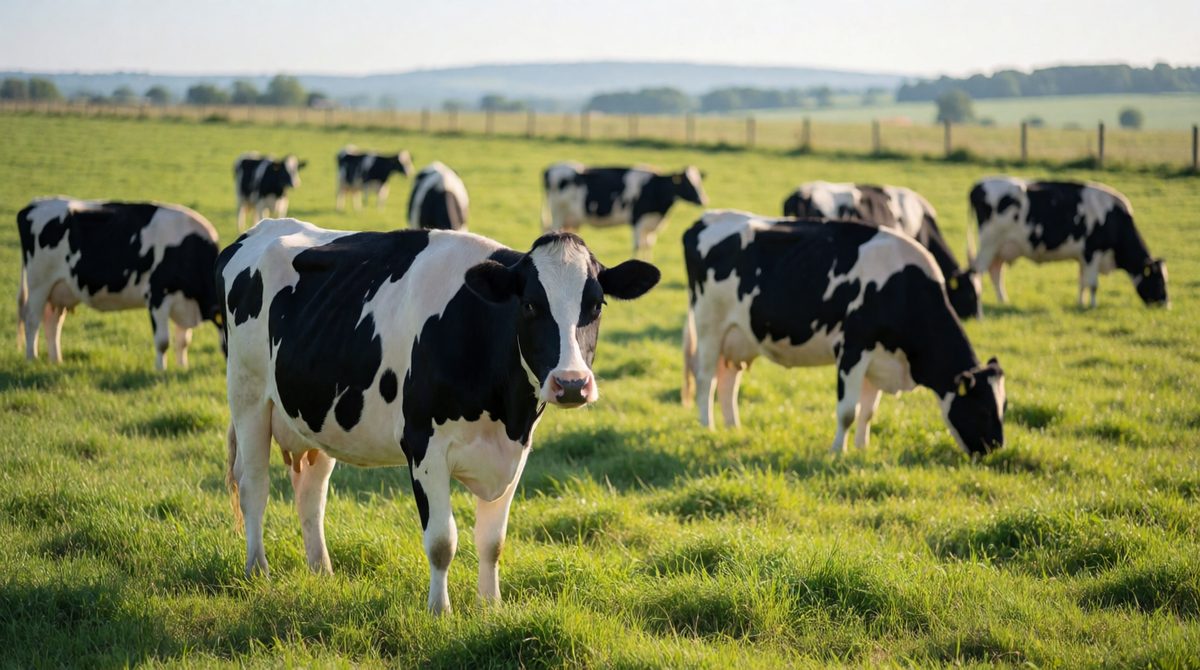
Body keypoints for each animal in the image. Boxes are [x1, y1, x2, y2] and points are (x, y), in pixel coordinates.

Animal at [17, 197, 221, 370]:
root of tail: (34, 204)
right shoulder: (157, 296)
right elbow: (163, 341)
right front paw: (161, 370)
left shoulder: (185, 302)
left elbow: (183, 341)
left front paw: (182, 367)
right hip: (39, 283)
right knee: (32, 319)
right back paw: (31, 358)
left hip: (60, 289)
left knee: (52, 322)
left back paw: (56, 360)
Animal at [217, 219, 660, 614]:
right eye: (531, 305)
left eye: (596, 305)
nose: (571, 384)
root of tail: (260, 229)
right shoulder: (423, 445)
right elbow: (442, 541)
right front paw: (439, 611)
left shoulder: (516, 451)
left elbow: (493, 542)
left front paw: (491, 607)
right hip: (248, 394)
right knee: (254, 485)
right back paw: (258, 570)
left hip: (318, 417)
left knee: (311, 493)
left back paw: (321, 571)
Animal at [542, 162, 707, 258]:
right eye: (687, 183)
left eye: (699, 181)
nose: (703, 200)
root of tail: (551, 168)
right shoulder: (637, 220)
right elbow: (638, 245)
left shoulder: (651, 222)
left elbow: (648, 244)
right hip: (557, 213)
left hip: (570, 219)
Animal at [682, 210, 1006, 455]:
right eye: (983, 410)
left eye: (1003, 406)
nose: (996, 448)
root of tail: (707, 218)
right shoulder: (853, 349)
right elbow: (848, 411)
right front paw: (838, 451)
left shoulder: (879, 358)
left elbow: (868, 411)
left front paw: (862, 448)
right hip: (710, 325)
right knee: (706, 378)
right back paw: (707, 426)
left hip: (739, 337)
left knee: (728, 381)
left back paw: (732, 428)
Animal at [968, 177, 1168, 308]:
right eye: (1158, 280)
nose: (1167, 304)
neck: (1114, 219)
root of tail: (979, 185)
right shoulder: (1092, 252)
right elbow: (1093, 284)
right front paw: (1092, 306)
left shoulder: (1083, 257)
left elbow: (1082, 282)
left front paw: (1081, 302)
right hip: (989, 244)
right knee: (978, 271)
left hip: (1001, 248)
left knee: (996, 272)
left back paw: (1003, 300)